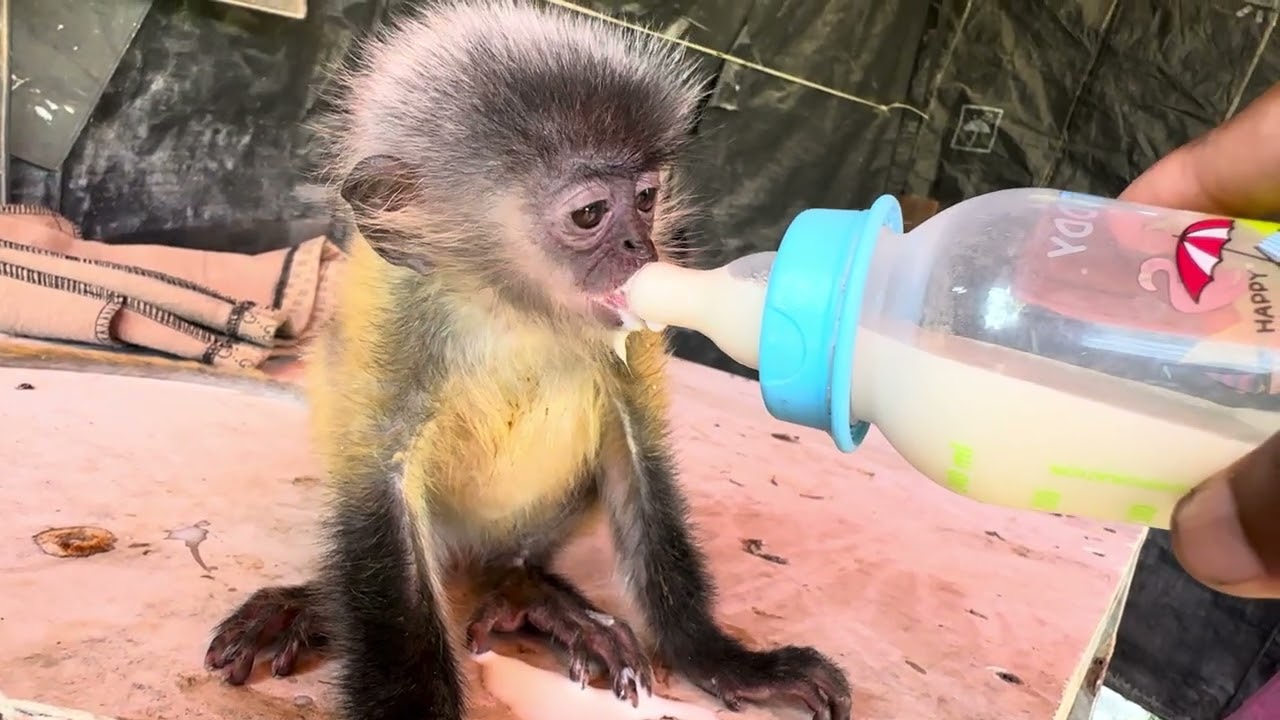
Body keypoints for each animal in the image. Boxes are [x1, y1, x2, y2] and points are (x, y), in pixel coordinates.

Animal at [201, 2, 853, 719]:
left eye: (646, 199)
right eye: (591, 213)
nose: (642, 246)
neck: (513, 315)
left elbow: (638, 457)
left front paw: (723, 660)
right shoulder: (392, 315)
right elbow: (381, 494)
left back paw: (529, 593)